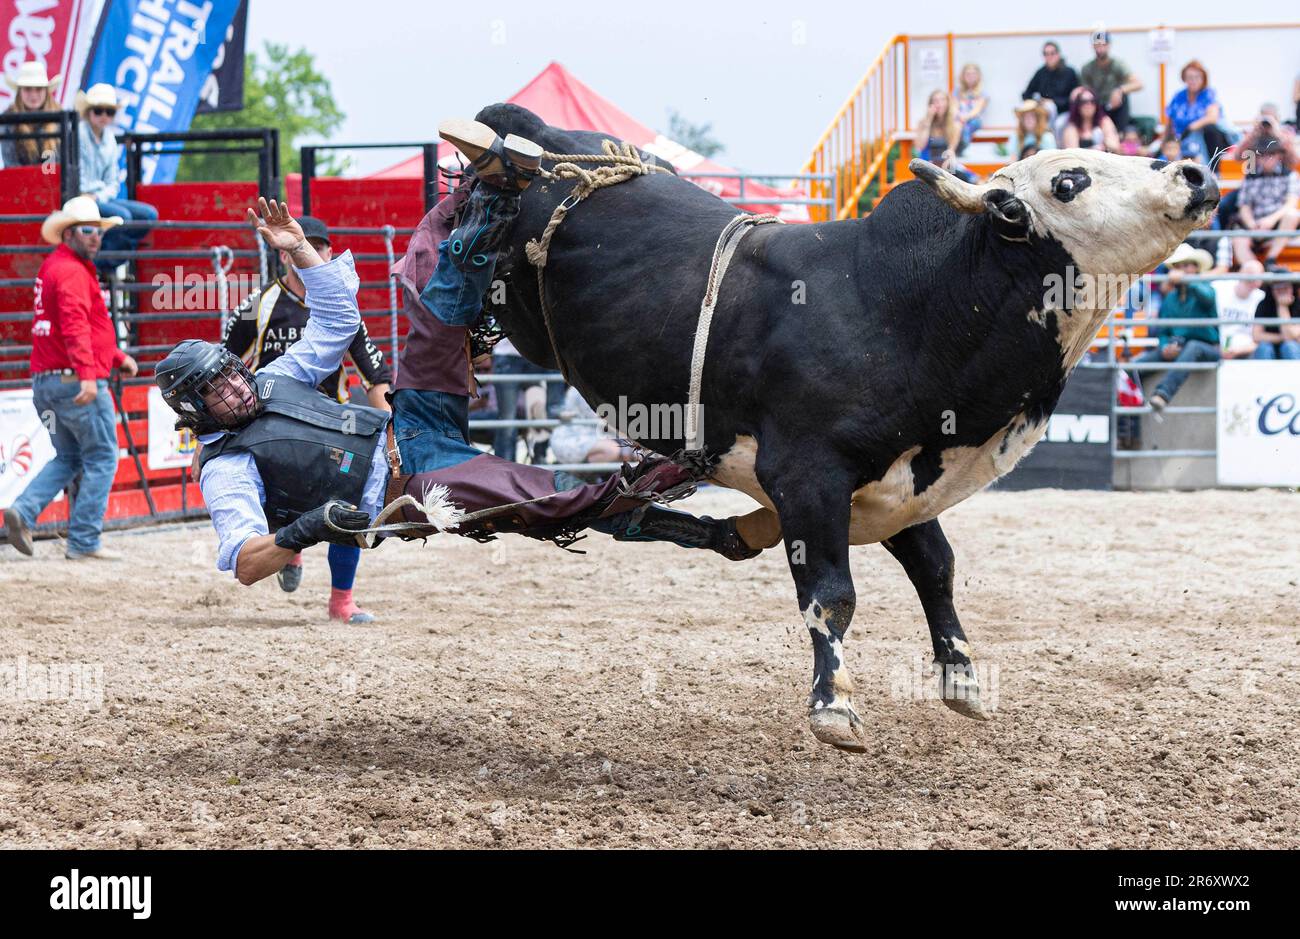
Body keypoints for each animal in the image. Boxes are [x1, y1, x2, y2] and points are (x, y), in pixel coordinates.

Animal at [472, 103, 1219, 751]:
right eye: (1070, 180)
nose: (1195, 173)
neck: (905, 306)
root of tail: (547, 139)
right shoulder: (808, 477)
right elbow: (832, 594)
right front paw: (834, 706)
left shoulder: (907, 476)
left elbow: (937, 567)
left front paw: (963, 679)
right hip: (512, 310)